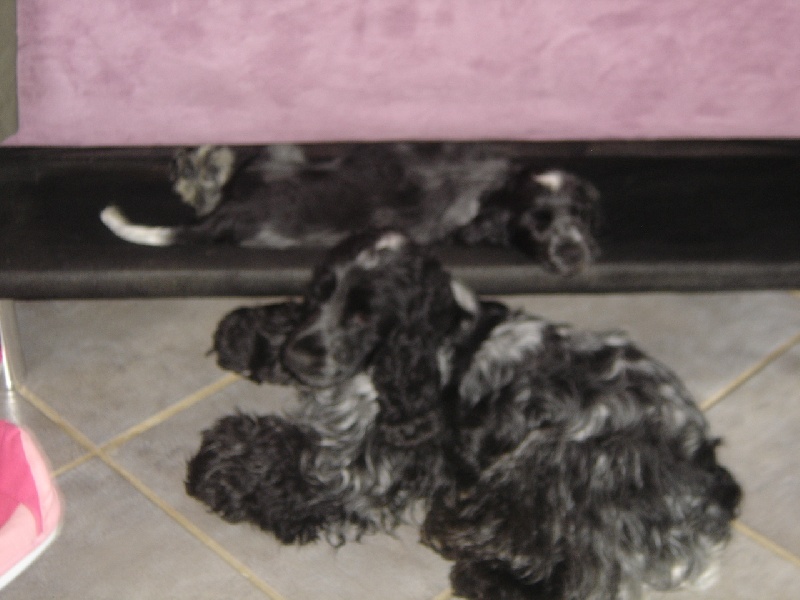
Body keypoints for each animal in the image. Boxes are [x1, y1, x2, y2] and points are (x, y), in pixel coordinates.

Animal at [100, 143, 601, 276]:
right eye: (535, 226)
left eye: (579, 214)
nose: (576, 255)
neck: (499, 180)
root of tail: (222, 219)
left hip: (279, 151)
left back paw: (206, 165)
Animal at [187, 229, 741, 599]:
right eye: (319, 295)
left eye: (365, 315)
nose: (299, 355)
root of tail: (709, 480)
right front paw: (248, 335)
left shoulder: (365, 465)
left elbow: (296, 460)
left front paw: (221, 464)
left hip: (562, 462)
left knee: (577, 573)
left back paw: (478, 566)